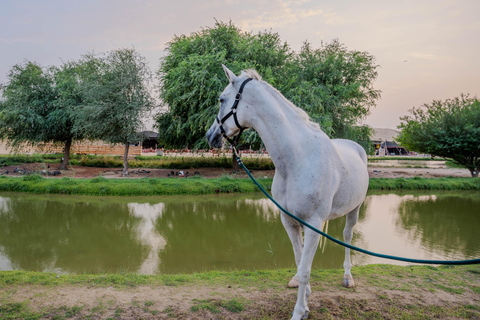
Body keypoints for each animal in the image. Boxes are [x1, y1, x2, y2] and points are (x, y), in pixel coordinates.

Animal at [206, 65, 368, 320]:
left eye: (222, 99)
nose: (210, 136)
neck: (297, 160)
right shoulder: (290, 222)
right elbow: (299, 262)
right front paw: (306, 298)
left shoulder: (314, 224)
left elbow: (305, 269)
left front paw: (299, 311)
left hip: (355, 210)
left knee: (347, 237)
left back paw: (347, 277)